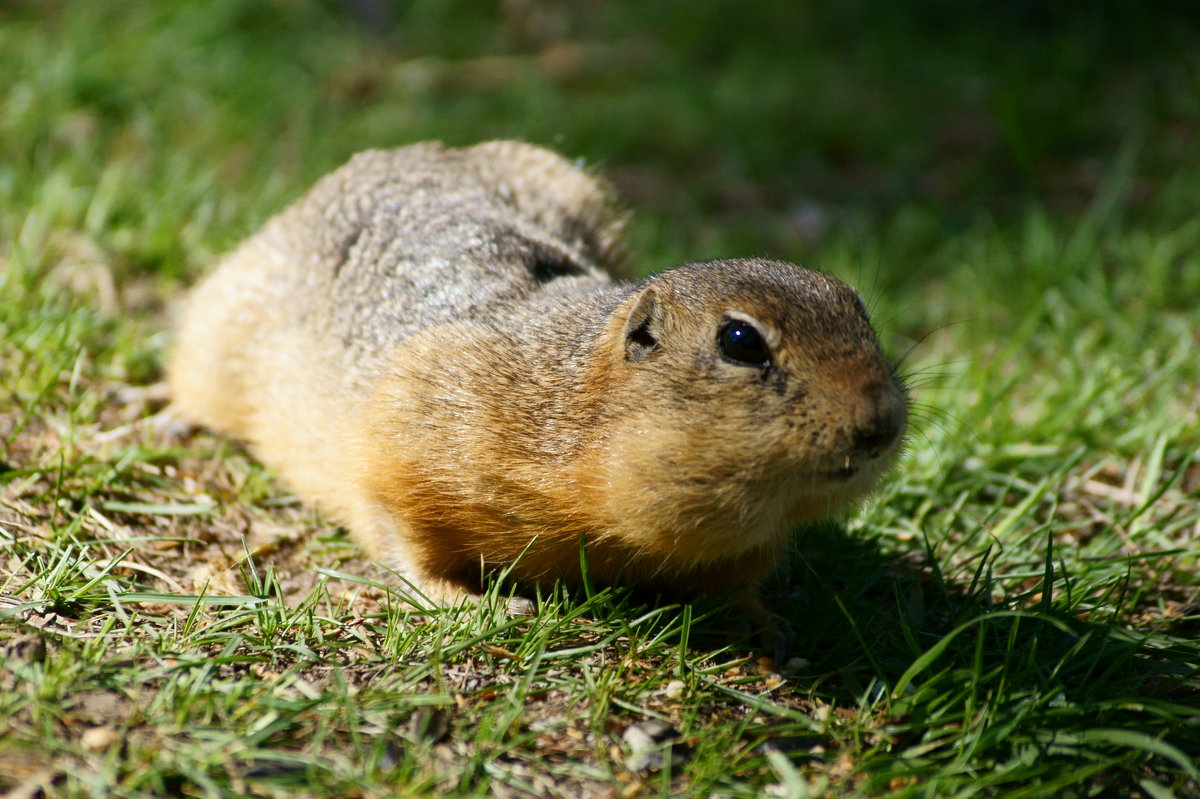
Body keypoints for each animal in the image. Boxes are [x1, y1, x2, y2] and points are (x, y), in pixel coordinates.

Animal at [166, 139, 902, 614]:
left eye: (858, 306)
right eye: (741, 341)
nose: (883, 422)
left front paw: (767, 626)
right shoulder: (405, 428)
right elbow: (403, 535)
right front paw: (473, 603)